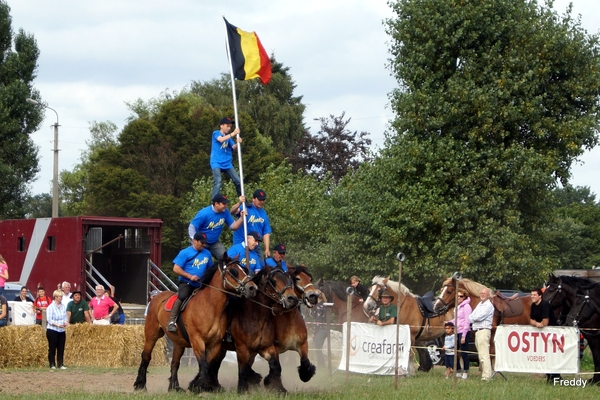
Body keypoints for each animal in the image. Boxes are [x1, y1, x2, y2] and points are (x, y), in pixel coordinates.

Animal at [135, 255, 256, 392]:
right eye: (234, 271)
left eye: (244, 269)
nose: (252, 288)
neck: (210, 307)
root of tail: (156, 298)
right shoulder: (197, 341)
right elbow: (203, 364)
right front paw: (202, 386)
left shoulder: (215, 344)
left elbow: (208, 364)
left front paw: (199, 385)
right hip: (152, 334)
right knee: (146, 356)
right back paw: (140, 384)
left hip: (178, 342)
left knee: (175, 362)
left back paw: (174, 387)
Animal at [213, 264, 302, 392]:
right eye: (273, 281)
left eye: (287, 279)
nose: (292, 298)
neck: (256, 318)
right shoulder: (242, 349)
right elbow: (243, 369)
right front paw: (243, 389)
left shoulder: (266, 347)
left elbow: (276, 366)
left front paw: (278, 388)